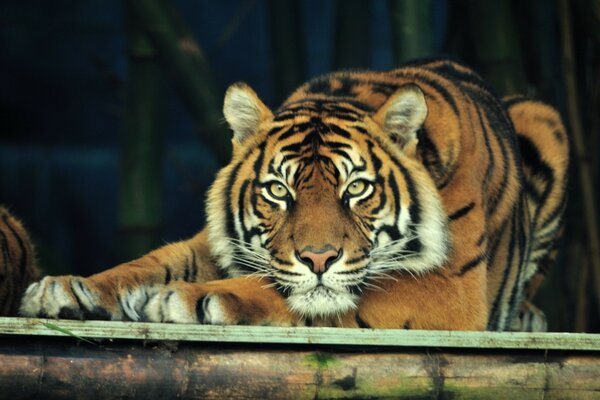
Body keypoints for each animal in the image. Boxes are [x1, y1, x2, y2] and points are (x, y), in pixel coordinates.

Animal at [16, 58, 568, 332]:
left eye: (356, 188)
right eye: (278, 191)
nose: (318, 258)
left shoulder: (449, 288)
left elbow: (289, 291)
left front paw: (192, 298)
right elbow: (151, 263)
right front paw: (66, 289)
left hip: (546, 120)